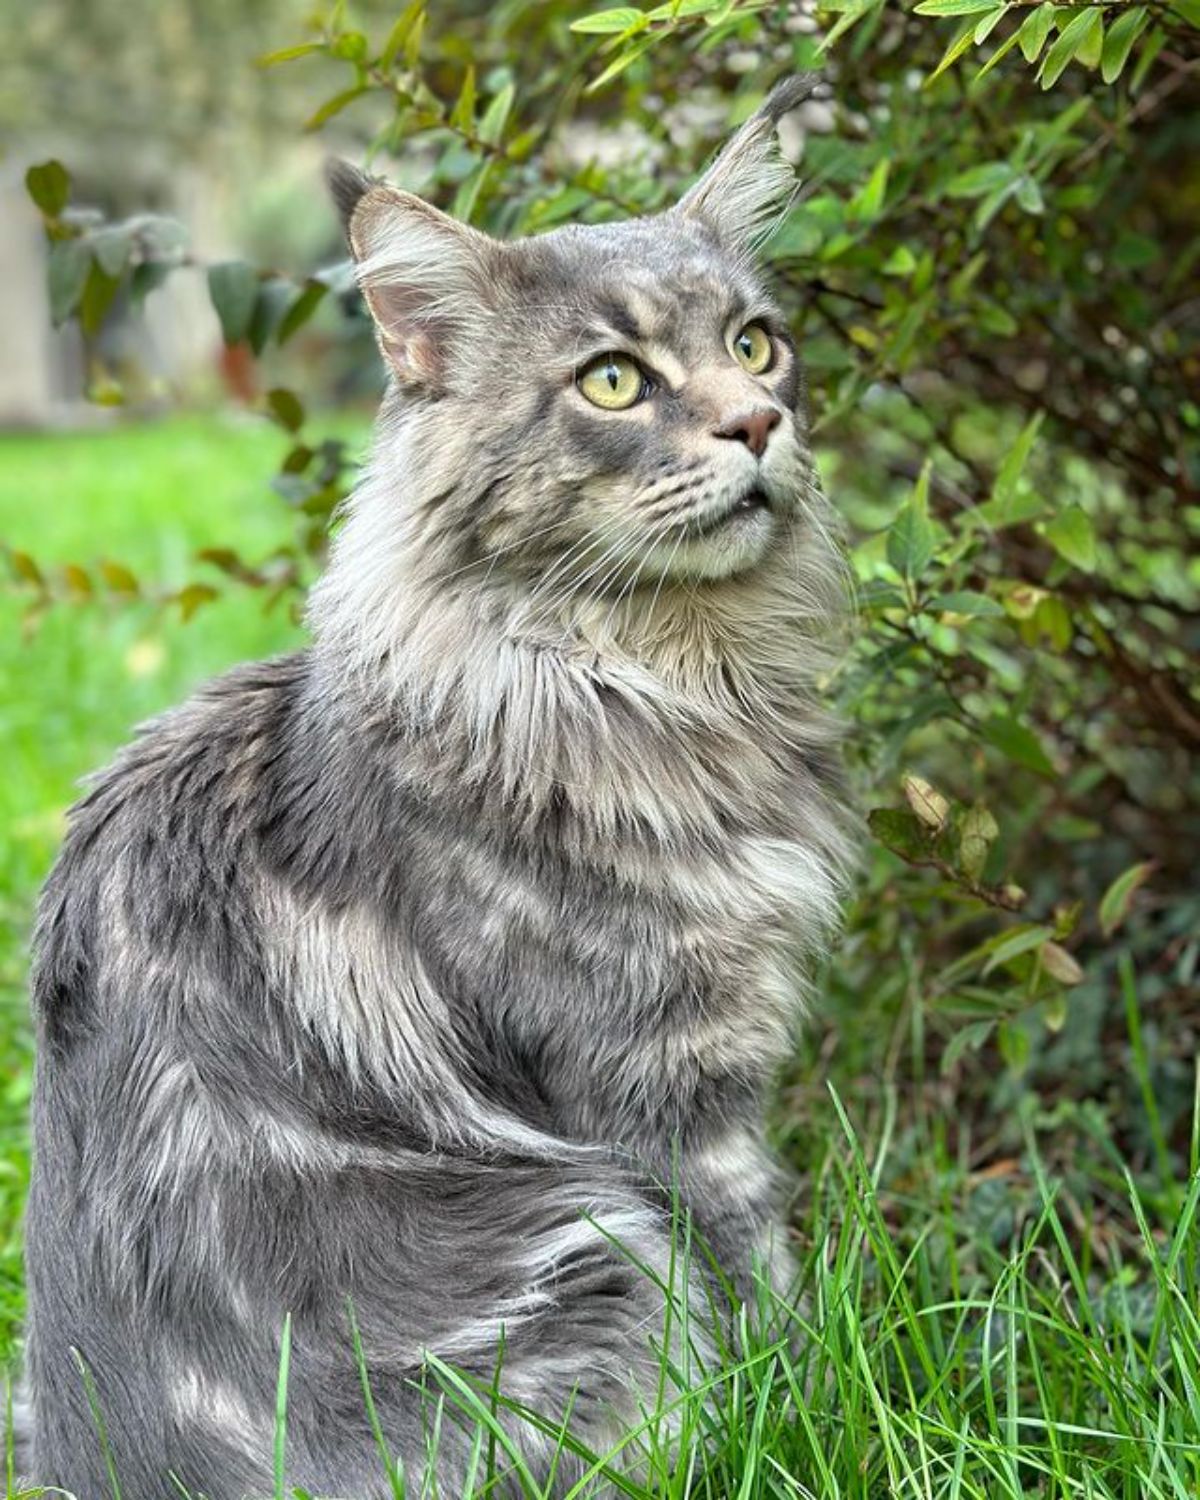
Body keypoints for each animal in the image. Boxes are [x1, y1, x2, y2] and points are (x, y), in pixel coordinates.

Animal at [18, 73, 846, 1500]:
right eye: (614, 382)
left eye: (756, 347)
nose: (758, 424)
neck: (648, 675)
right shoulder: (660, 1090)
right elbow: (768, 1294)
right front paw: (805, 1420)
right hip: (601, 1242)